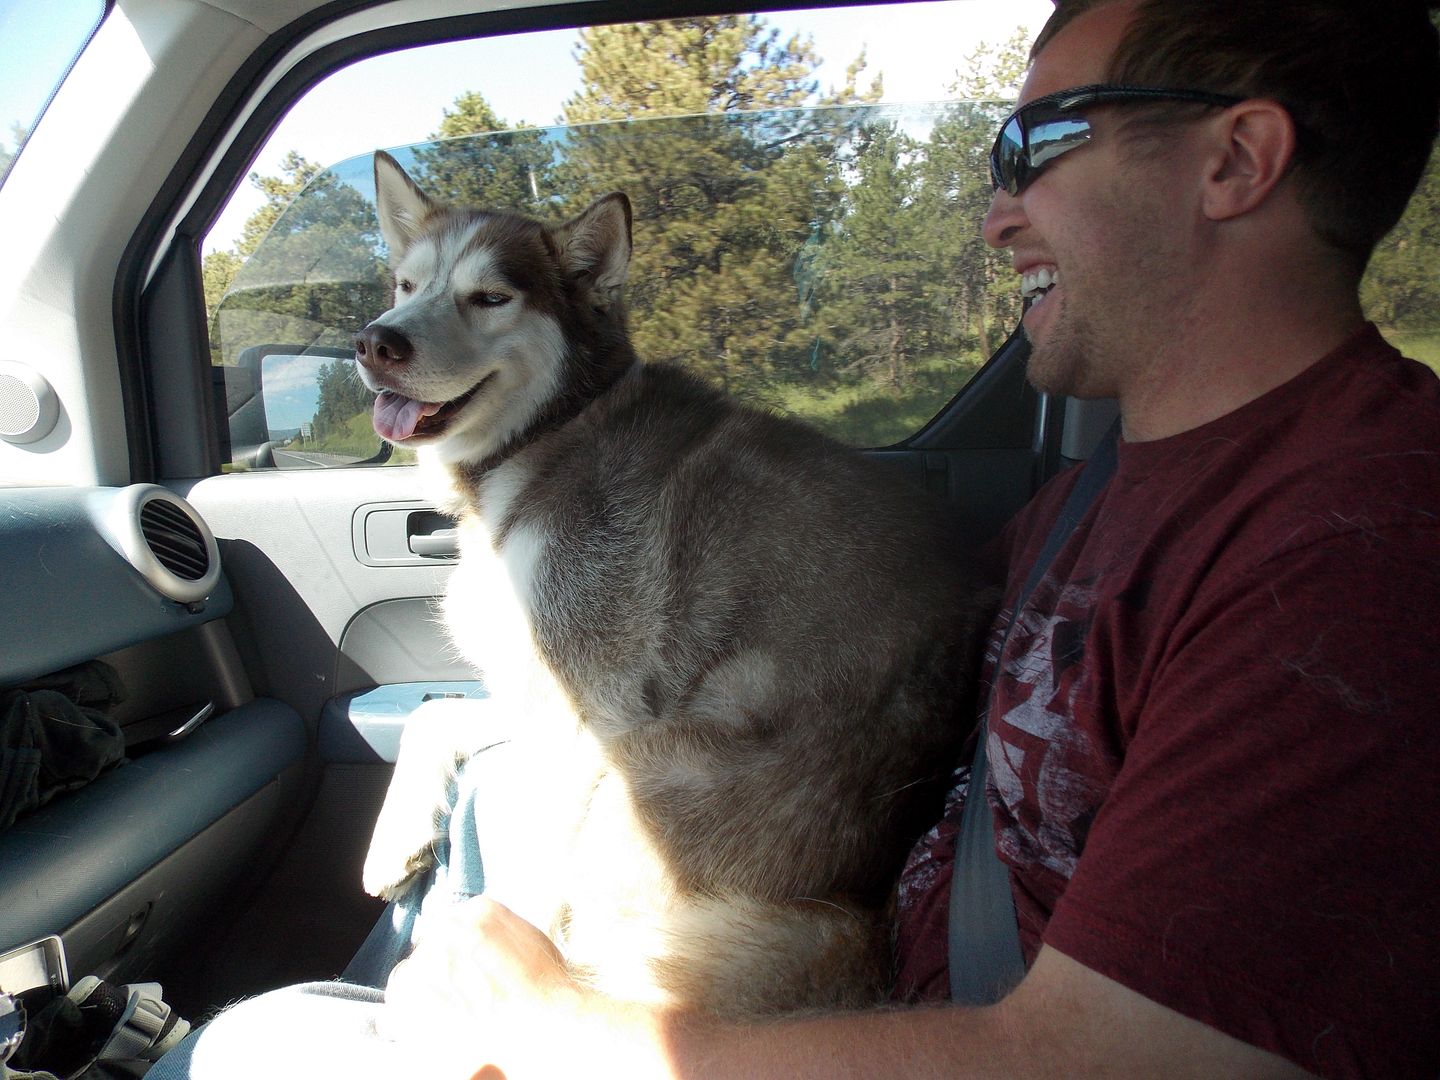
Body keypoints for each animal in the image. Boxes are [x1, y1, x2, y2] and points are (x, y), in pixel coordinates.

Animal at [357, 152, 990, 1025]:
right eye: (405, 284)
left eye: (490, 297)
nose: (375, 341)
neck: (547, 435)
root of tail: (858, 917)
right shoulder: (538, 692)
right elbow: (434, 716)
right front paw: (394, 838)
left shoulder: (592, 714)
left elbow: (526, 884)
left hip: (641, 774)